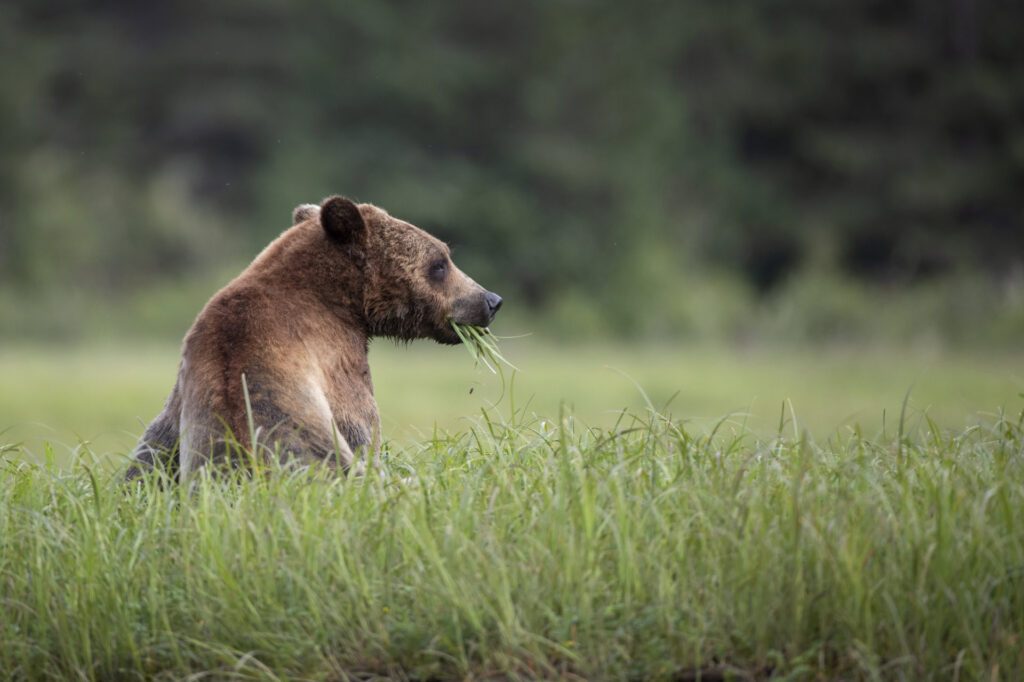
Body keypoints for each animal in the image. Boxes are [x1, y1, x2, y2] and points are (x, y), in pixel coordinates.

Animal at [125, 193, 501, 475]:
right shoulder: (337, 363)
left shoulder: (184, 387)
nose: (490, 300)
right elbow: (365, 432)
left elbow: (150, 453)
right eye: (440, 263)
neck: (341, 301)